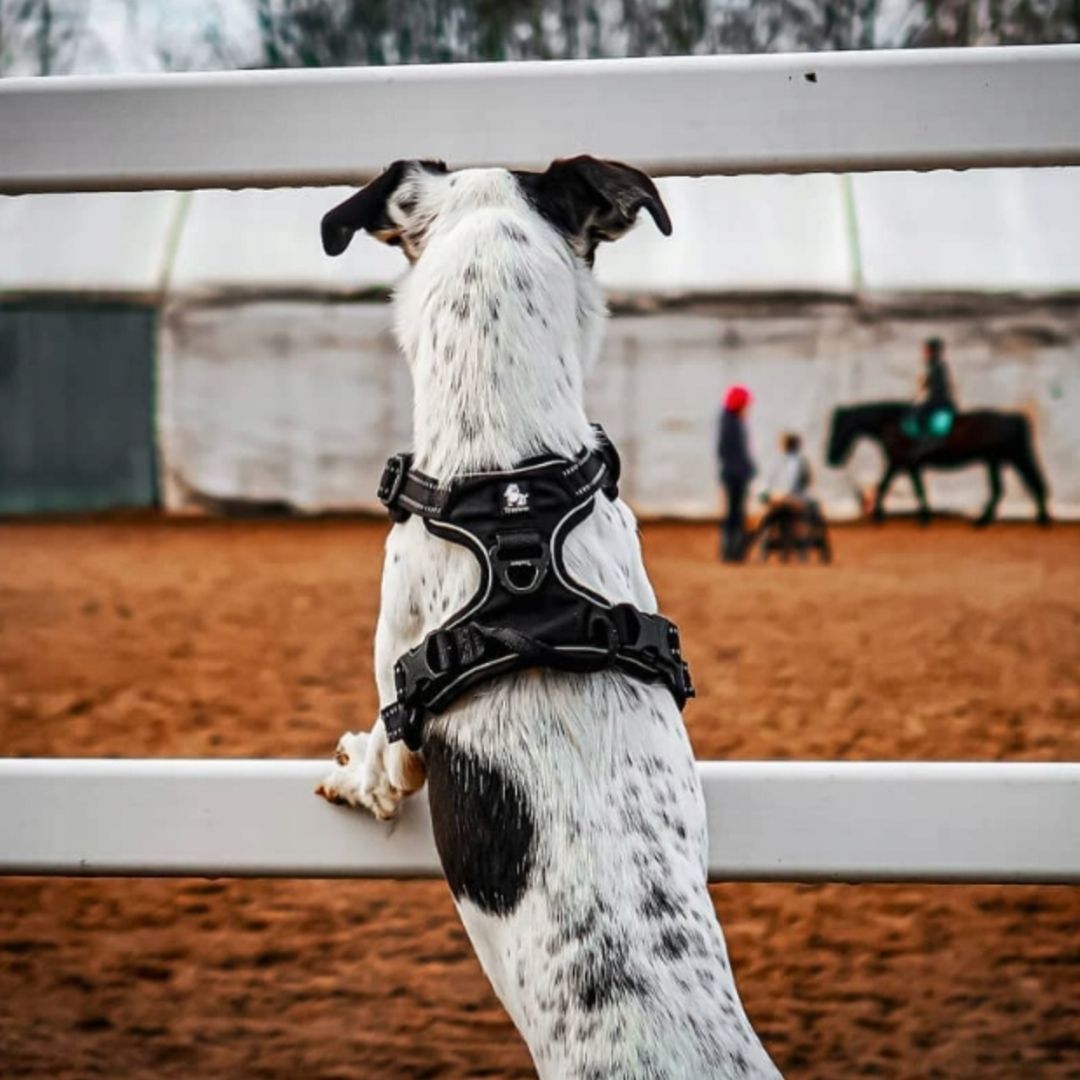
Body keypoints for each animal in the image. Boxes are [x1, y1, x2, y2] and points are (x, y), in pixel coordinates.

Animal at [825, 403, 1045, 524]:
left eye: (837, 429)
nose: (831, 458)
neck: (890, 423)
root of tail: (1015, 417)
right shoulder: (907, 464)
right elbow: (912, 488)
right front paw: (923, 517)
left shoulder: (900, 462)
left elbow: (888, 486)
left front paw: (879, 515)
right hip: (998, 459)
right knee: (1011, 486)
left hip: (1006, 458)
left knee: (1026, 484)